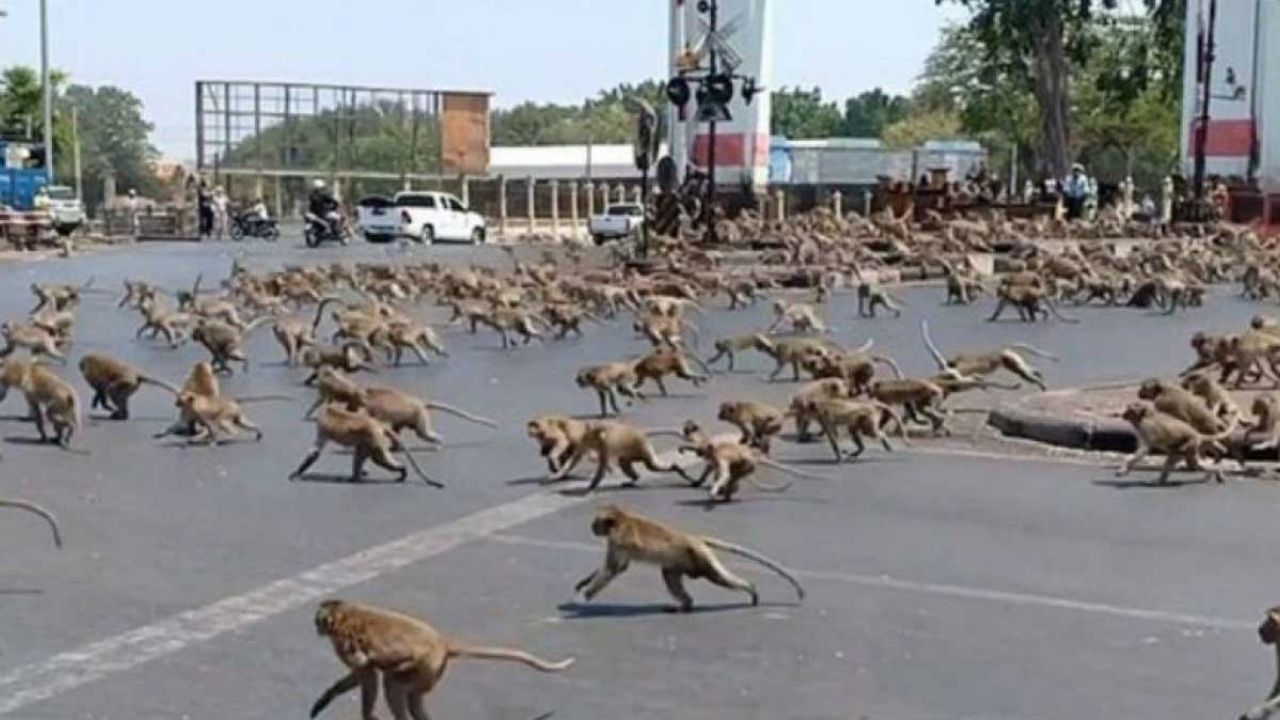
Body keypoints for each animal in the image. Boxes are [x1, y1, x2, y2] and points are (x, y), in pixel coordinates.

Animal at [289, 404, 442, 486]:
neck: (331, 411)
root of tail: (378, 424)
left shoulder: (323, 427)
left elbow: (315, 450)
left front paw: (296, 473)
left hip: (373, 438)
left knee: (379, 459)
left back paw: (402, 470)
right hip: (370, 439)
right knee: (362, 454)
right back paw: (355, 477)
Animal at [309, 599, 573, 720]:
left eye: (318, 621)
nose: (316, 628)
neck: (345, 613)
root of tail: (442, 642)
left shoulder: (343, 642)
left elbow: (367, 671)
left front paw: (368, 715)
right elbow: (363, 674)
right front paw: (327, 697)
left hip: (427, 665)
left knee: (392, 683)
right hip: (432, 672)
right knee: (409, 694)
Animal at [549, 421, 689, 492]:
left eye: (589, 439)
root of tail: (641, 433)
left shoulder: (606, 444)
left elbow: (602, 466)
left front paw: (592, 485)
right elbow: (577, 457)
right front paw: (561, 471)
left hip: (641, 446)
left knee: (651, 465)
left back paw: (676, 468)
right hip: (635, 450)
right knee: (626, 462)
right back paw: (634, 479)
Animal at [575, 505, 805, 612]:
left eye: (596, 522)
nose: (592, 527)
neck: (621, 519)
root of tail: (693, 538)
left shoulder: (619, 540)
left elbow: (615, 568)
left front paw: (587, 593)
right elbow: (612, 567)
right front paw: (584, 583)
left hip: (700, 558)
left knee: (719, 578)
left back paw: (751, 589)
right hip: (683, 561)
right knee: (669, 574)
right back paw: (685, 605)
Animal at [921, 321, 1055, 391]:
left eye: (943, 367)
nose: (941, 368)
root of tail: (1001, 350)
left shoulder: (956, 371)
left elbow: (966, 378)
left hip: (1007, 358)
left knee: (1023, 372)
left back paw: (1039, 381)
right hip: (1011, 357)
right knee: (1024, 370)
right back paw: (1038, 375)